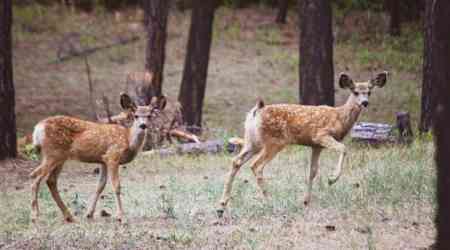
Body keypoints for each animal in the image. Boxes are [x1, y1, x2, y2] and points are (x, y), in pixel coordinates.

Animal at [29, 93, 167, 222]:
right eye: (136, 116)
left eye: (149, 116)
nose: (143, 125)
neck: (127, 140)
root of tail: (38, 128)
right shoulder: (113, 156)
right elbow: (116, 186)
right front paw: (120, 216)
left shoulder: (103, 160)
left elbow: (100, 186)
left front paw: (89, 213)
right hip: (53, 153)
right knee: (36, 177)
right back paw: (35, 215)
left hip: (59, 157)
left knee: (50, 180)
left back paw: (69, 216)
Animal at [217, 71, 386, 215]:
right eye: (355, 92)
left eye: (369, 92)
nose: (365, 102)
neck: (340, 118)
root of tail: (256, 111)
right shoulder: (320, 135)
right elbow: (343, 148)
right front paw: (332, 179)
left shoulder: (316, 146)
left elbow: (313, 171)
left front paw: (306, 201)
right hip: (274, 141)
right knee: (256, 166)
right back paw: (271, 200)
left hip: (253, 141)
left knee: (236, 161)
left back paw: (222, 205)